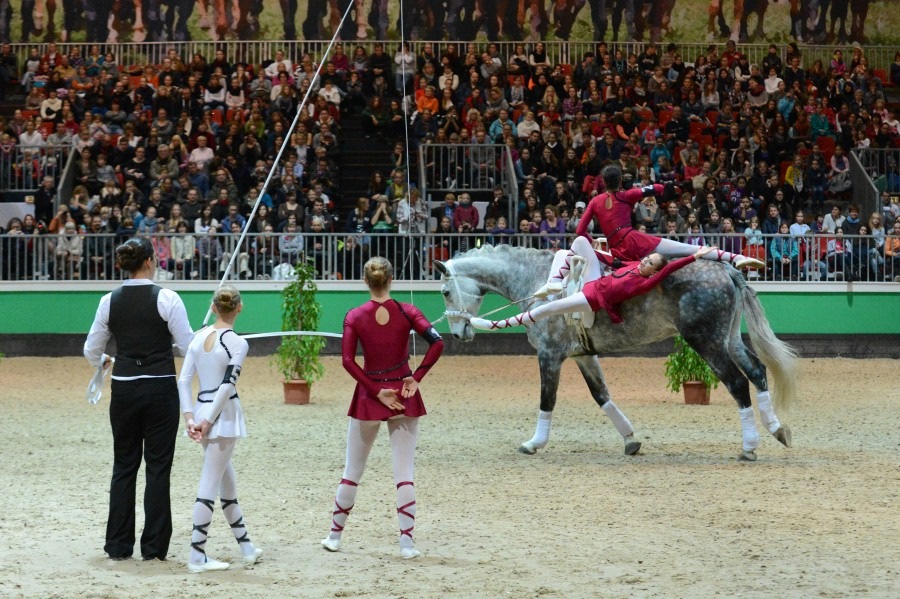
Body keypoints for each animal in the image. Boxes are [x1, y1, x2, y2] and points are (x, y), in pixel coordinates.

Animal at [436, 246, 796, 462]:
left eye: (445, 291)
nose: (458, 333)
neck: (537, 281)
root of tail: (727, 272)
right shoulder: (583, 355)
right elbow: (602, 395)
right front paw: (630, 440)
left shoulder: (550, 355)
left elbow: (547, 400)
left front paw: (534, 443)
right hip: (728, 338)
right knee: (757, 371)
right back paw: (778, 430)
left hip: (705, 341)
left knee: (737, 383)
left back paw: (749, 447)